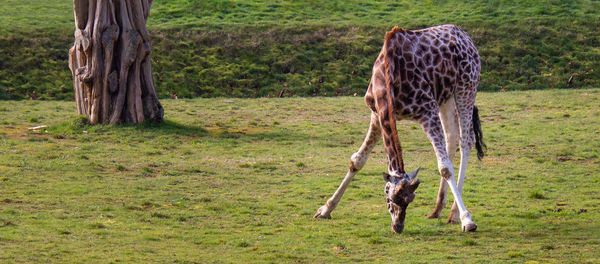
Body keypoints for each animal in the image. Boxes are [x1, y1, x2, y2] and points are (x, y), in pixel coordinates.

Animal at [316, 24, 486, 233]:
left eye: (410, 200)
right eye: (390, 199)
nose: (398, 226)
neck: (388, 78)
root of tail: (464, 35)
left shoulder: (427, 111)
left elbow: (445, 168)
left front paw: (468, 220)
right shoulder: (378, 113)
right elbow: (357, 160)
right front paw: (325, 209)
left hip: (466, 87)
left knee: (466, 140)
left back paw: (455, 214)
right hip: (446, 97)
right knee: (452, 136)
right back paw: (438, 210)